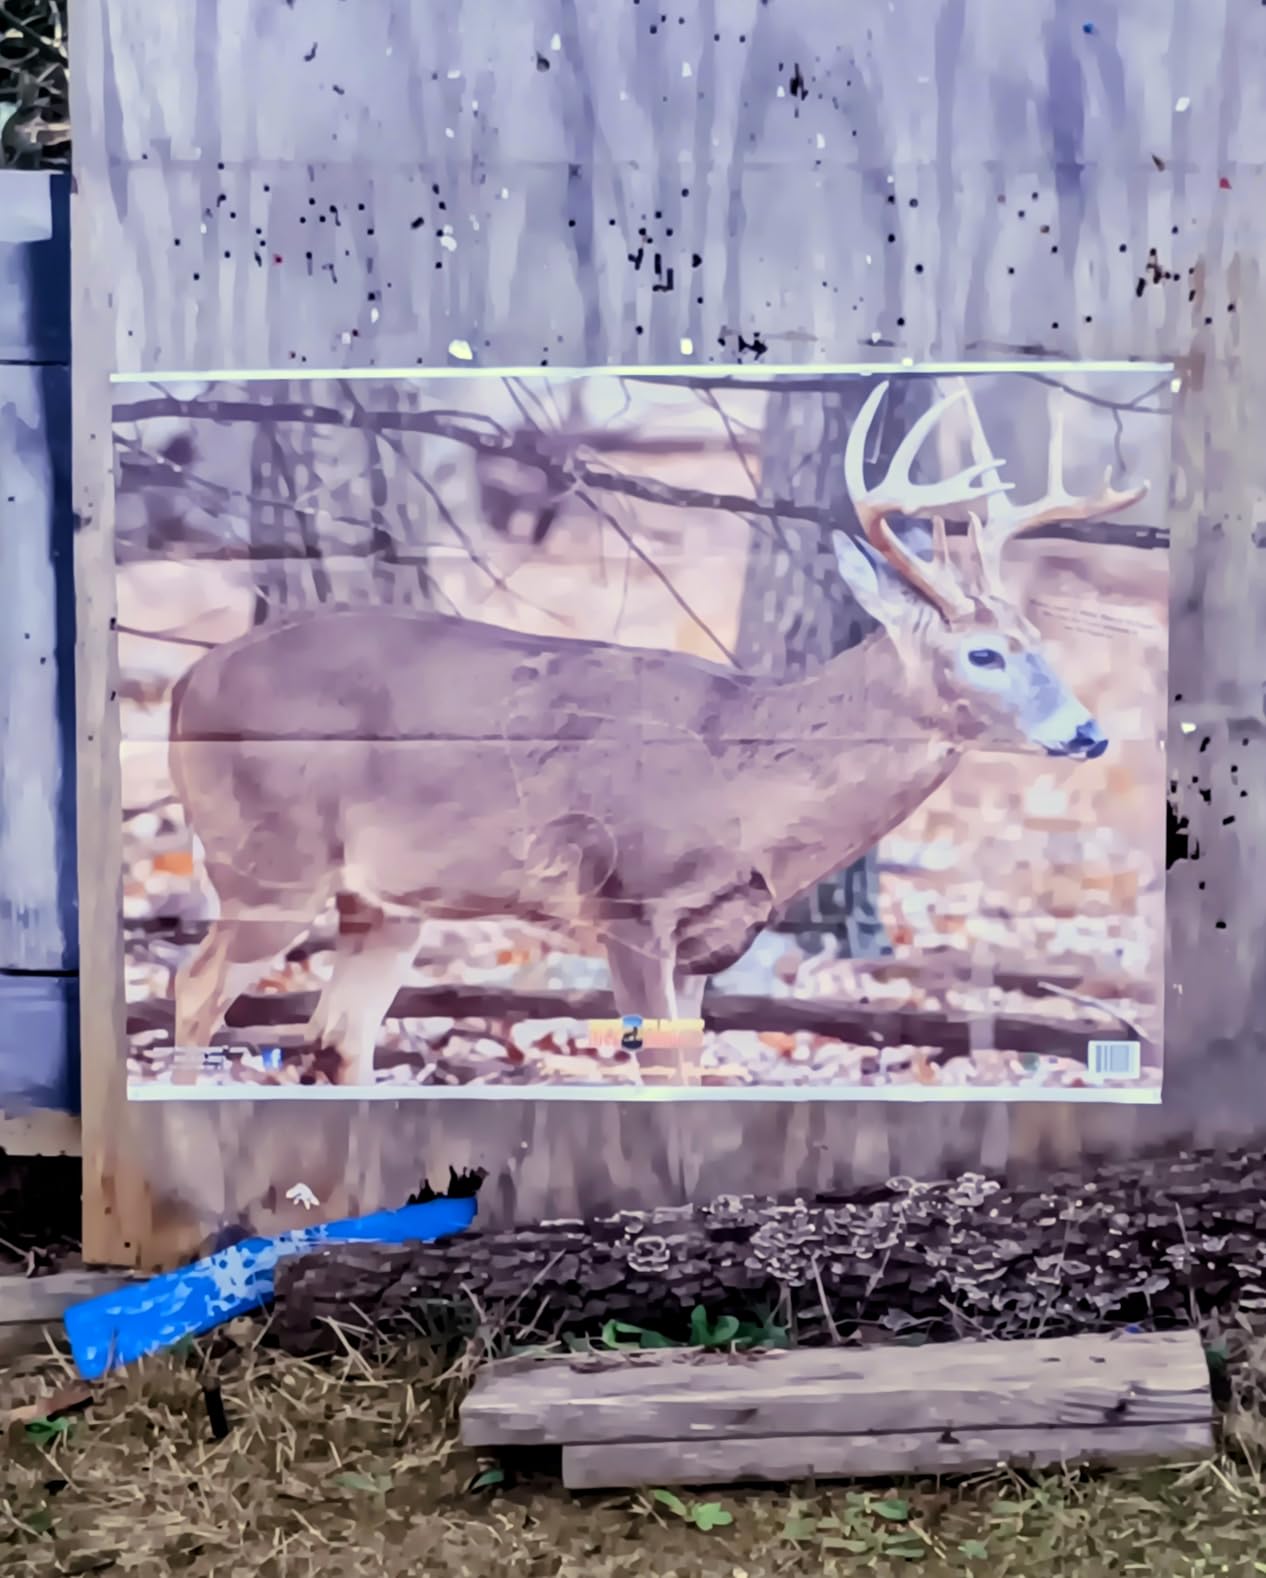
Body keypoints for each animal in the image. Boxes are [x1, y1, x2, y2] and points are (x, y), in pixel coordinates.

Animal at [164, 379, 1147, 1084]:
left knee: (336, 1039)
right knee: (195, 986)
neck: (745, 780)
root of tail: (185, 684)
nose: (1089, 733)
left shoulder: (713, 938)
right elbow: (662, 1071)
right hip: (270, 859)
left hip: (384, 901)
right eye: (984, 653)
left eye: (1038, 641)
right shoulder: (627, 900)